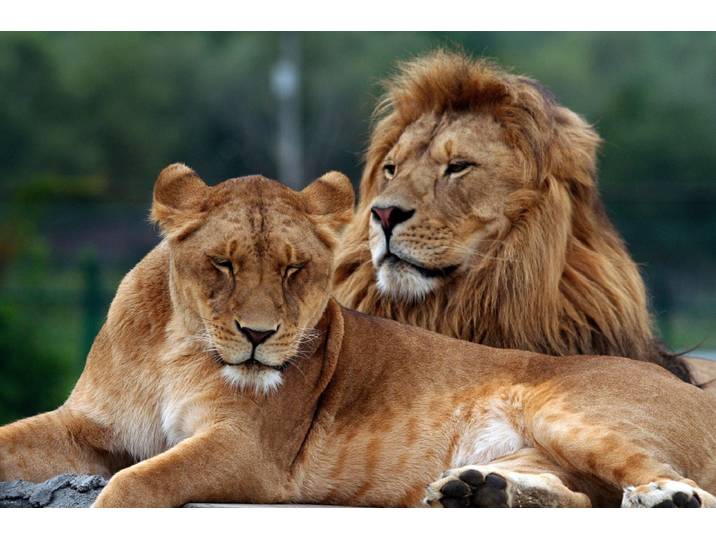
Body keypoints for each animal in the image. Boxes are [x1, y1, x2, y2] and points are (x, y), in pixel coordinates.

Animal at [1, 164, 715, 508]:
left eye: (294, 269)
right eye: (224, 264)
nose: (258, 335)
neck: (179, 345)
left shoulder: (250, 453)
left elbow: (136, 483)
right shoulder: (88, 426)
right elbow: (13, 439)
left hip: (564, 411)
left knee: (678, 486)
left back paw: (666, 499)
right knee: (581, 495)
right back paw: (477, 492)